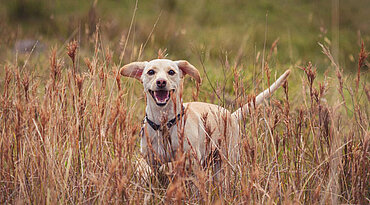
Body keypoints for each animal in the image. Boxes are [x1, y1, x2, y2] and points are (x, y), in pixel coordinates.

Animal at [120, 58, 290, 173]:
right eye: (151, 72)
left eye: (171, 72)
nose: (161, 82)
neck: (164, 124)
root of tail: (231, 115)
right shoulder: (152, 162)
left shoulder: (192, 162)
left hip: (226, 162)